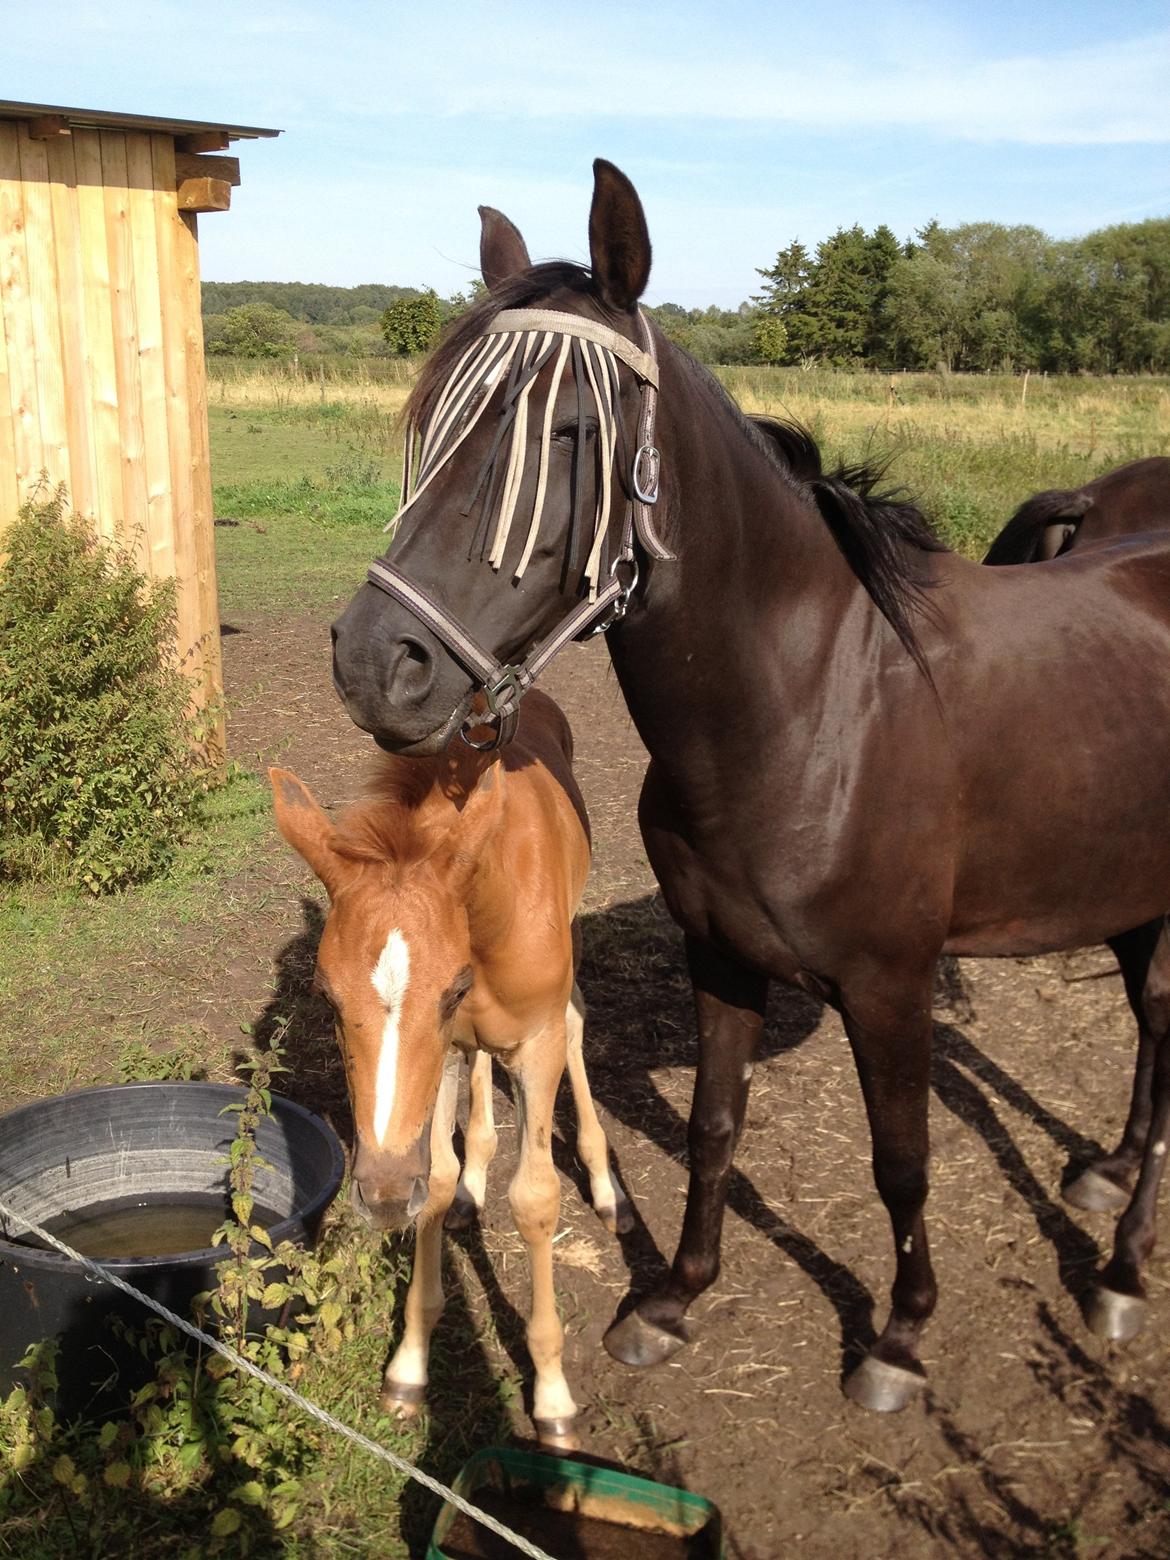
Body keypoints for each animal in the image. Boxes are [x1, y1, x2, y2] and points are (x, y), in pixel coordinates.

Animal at [269, 689, 627, 1441]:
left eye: (452, 988)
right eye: (325, 993)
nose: (378, 1197)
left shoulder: (534, 1041)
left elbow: (536, 1198)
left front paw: (553, 1397)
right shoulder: (443, 1054)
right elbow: (431, 1179)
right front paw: (409, 1366)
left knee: (579, 1022)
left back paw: (605, 1184)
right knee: (478, 1077)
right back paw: (474, 1181)